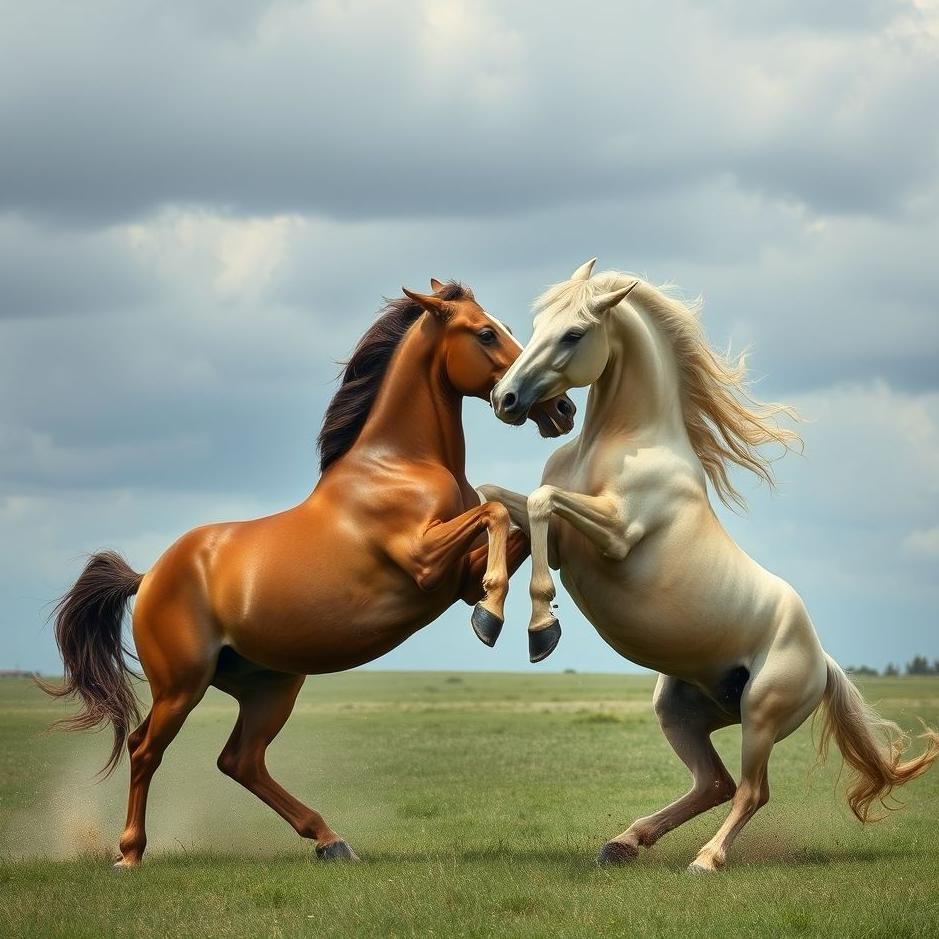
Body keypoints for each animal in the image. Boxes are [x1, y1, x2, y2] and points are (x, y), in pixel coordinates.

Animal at [41, 278, 575, 869]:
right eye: (485, 333)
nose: (562, 406)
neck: (398, 464)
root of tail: (149, 575)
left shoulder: (455, 579)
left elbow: (517, 523)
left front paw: (542, 628)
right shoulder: (424, 561)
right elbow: (498, 513)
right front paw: (491, 618)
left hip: (269, 685)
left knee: (240, 760)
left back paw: (330, 840)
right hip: (181, 686)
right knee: (145, 749)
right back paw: (129, 854)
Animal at [482, 258, 939, 872]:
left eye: (574, 334)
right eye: (534, 325)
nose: (504, 398)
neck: (619, 442)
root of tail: (823, 662)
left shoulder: (616, 534)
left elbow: (539, 500)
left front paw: (541, 629)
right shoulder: (560, 546)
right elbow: (497, 499)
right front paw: (489, 616)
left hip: (761, 717)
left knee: (751, 790)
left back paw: (707, 859)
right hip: (679, 711)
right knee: (713, 784)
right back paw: (623, 843)